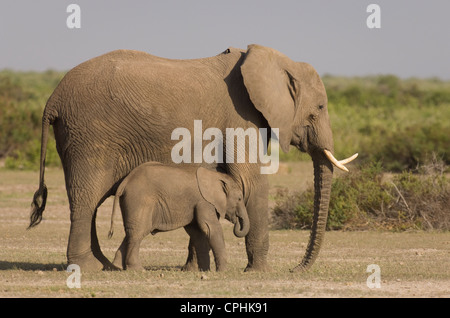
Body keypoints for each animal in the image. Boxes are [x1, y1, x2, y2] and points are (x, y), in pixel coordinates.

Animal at [109, 161, 250, 270]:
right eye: (239, 199)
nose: (237, 220)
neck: (215, 177)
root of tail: (124, 182)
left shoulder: (196, 204)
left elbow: (197, 232)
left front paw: (204, 270)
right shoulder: (204, 202)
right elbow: (211, 228)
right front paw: (223, 271)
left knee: (131, 232)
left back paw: (118, 266)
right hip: (140, 201)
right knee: (138, 232)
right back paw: (138, 269)